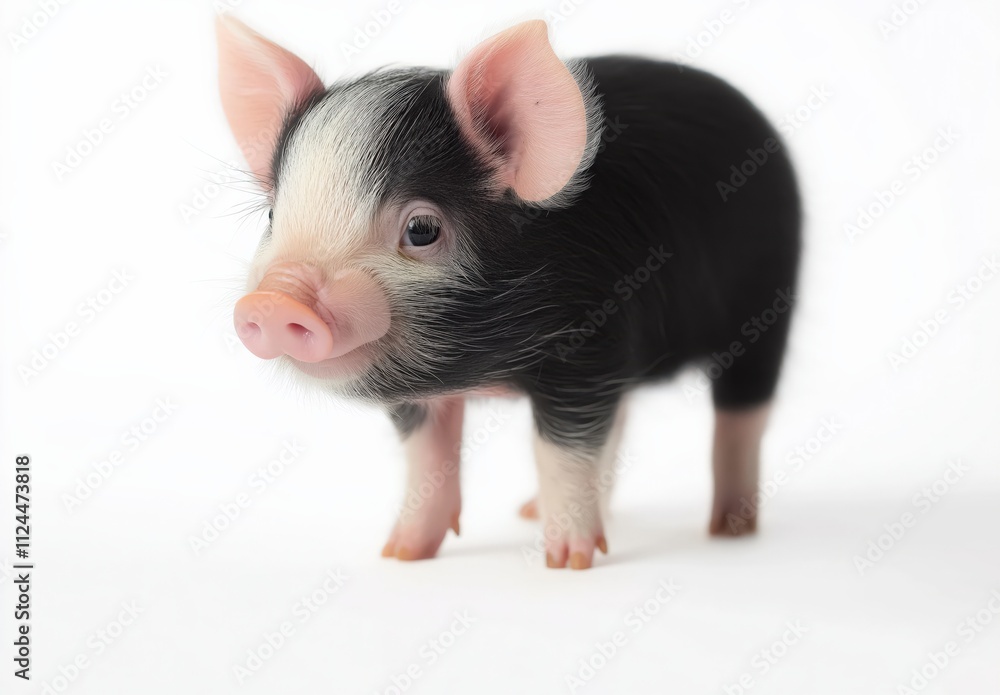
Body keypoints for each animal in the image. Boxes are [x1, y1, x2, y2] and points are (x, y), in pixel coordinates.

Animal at [217, 16, 800, 569]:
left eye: (422, 229)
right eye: (273, 217)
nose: (273, 301)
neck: (489, 367)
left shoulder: (590, 343)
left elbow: (562, 448)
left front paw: (568, 563)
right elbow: (428, 456)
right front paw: (401, 554)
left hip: (767, 307)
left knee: (742, 417)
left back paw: (729, 530)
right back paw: (531, 512)